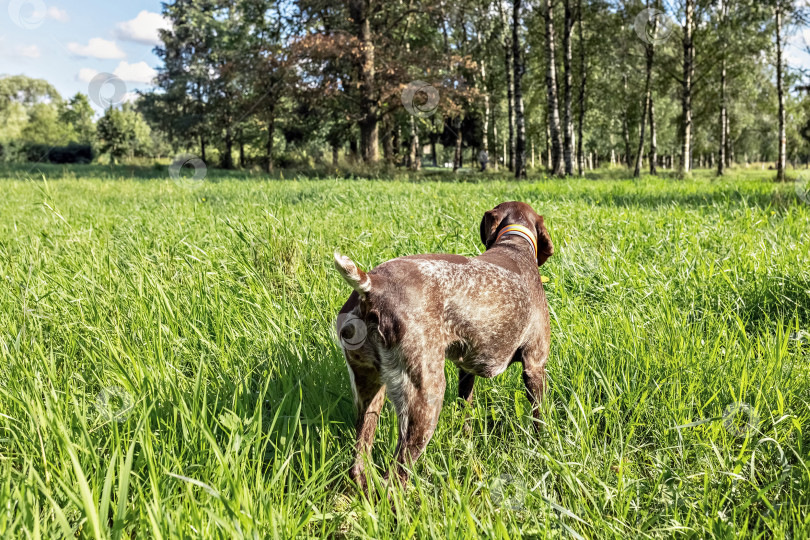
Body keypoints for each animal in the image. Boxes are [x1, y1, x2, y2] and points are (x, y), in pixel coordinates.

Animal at [332, 201, 552, 490]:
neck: (514, 245)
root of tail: (372, 286)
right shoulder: (535, 364)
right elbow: (539, 417)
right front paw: (544, 447)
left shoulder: (466, 369)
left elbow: (465, 407)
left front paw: (466, 439)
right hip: (425, 397)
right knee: (395, 479)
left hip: (369, 389)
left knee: (359, 462)